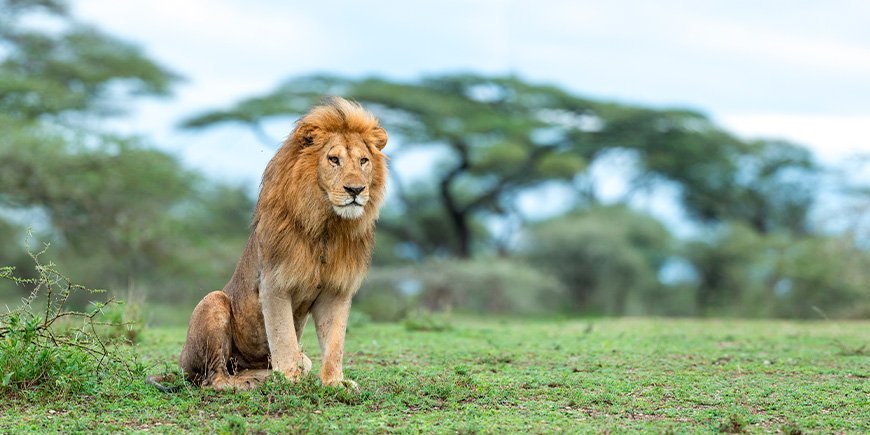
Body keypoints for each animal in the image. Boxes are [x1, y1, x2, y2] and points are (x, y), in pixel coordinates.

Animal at [173, 97, 387, 390]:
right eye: (334, 160)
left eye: (364, 161)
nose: (355, 190)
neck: (327, 227)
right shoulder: (274, 284)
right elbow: (283, 335)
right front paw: (288, 379)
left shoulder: (336, 291)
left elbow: (335, 343)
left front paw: (334, 383)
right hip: (213, 302)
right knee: (213, 377)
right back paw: (245, 383)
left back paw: (262, 377)